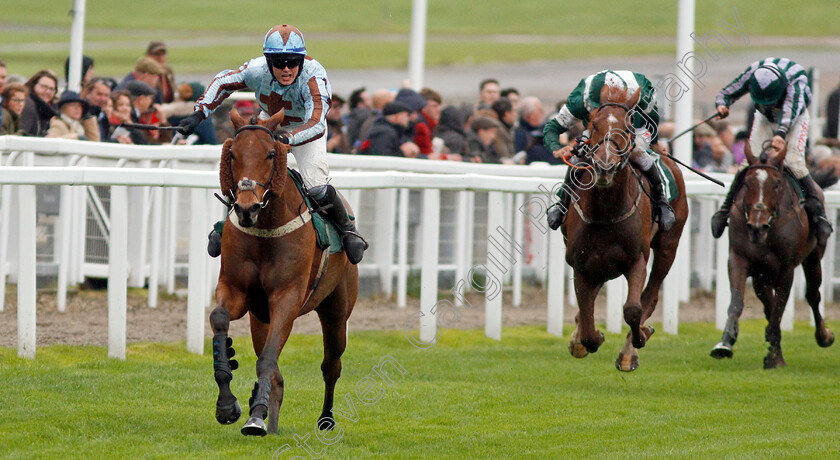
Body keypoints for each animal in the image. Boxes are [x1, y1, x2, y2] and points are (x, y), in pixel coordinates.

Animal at [209, 107, 358, 434]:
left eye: (269, 154)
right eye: (233, 154)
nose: (247, 209)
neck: (265, 228)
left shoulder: (287, 297)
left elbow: (267, 359)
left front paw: (254, 418)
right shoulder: (236, 290)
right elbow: (220, 319)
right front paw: (229, 404)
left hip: (337, 312)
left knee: (331, 365)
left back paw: (325, 419)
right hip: (259, 318)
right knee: (275, 369)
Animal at [564, 84, 688, 372]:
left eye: (628, 126)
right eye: (594, 124)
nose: (605, 166)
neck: (606, 211)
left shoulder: (636, 259)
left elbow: (633, 309)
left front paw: (639, 338)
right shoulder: (581, 263)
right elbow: (588, 325)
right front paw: (587, 337)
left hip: (668, 246)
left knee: (650, 297)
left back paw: (631, 349)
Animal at [708, 142, 832, 368]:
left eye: (776, 184)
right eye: (746, 183)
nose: (757, 227)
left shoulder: (786, 268)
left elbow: (779, 310)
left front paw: (774, 358)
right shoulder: (738, 259)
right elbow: (737, 303)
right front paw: (725, 343)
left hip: (813, 257)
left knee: (813, 295)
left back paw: (823, 336)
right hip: (761, 276)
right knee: (769, 305)